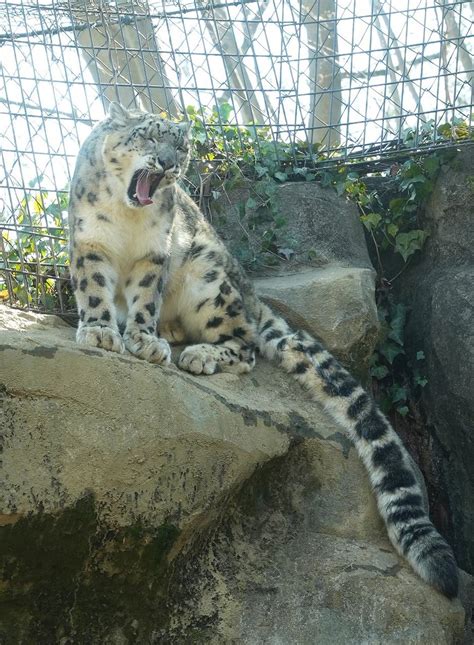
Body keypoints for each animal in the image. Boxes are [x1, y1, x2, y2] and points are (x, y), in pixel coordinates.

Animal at [67, 102, 460, 600]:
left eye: (182, 145)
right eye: (149, 136)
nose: (169, 164)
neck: (127, 217)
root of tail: (251, 293)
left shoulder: (154, 256)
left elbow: (145, 297)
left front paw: (142, 338)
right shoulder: (90, 243)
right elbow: (94, 288)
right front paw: (101, 330)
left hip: (208, 280)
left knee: (246, 343)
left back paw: (197, 353)